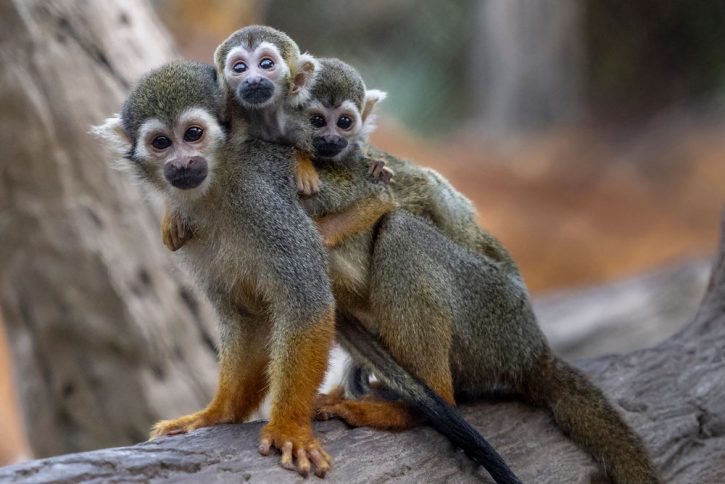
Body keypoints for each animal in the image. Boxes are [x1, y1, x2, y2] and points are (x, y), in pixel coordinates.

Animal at [92, 62, 336, 478]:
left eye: (193, 134)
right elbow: (251, 317)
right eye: (161, 143)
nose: (181, 163)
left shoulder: (263, 201)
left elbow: (306, 301)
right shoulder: (191, 224)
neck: (220, 181)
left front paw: (289, 427)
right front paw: (217, 413)